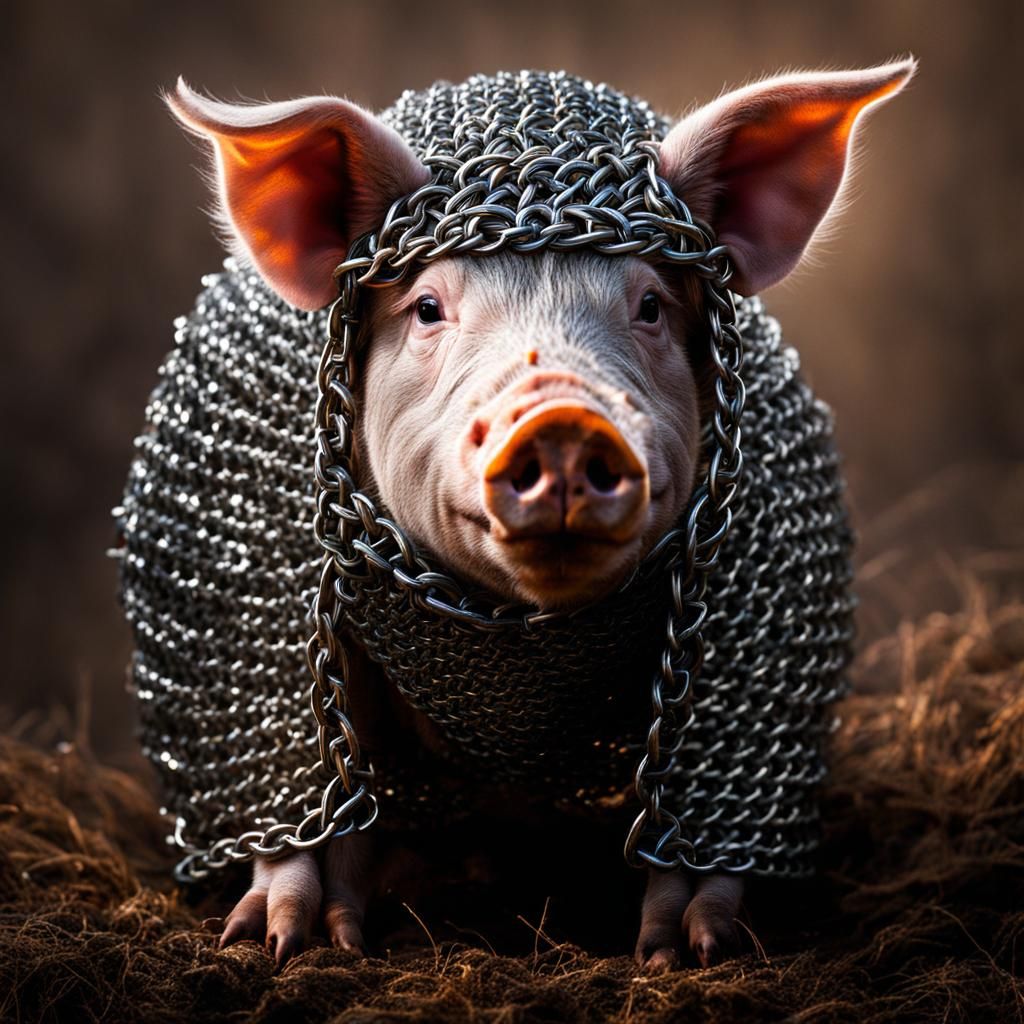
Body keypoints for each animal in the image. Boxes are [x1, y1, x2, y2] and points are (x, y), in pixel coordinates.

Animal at [136, 60, 915, 971]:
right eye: (428, 307)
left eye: (651, 305)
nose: (564, 420)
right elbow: (307, 793)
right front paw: (285, 940)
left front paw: (685, 950)